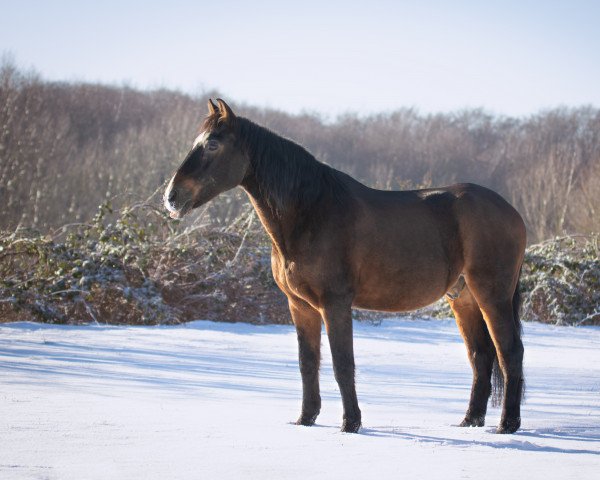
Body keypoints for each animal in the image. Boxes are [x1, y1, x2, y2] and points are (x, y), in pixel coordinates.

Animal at [163, 98, 524, 436]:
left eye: (213, 144)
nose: (172, 197)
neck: (312, 212)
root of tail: (512, 213)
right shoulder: (300, 305)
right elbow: (308, 362)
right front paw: (306, 419)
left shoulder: (335, 303)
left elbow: (342, 363)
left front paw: (350, 423)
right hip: (463, 298)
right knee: (481, 356)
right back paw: (470, 421)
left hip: (492, 295)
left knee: (510, 352)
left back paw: (507, 425)